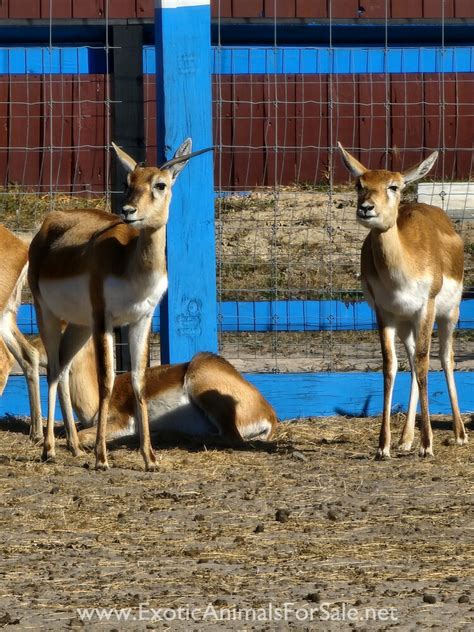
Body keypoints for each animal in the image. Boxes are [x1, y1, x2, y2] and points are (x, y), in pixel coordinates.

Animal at [27, 141, 209, 472]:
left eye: (160, 184)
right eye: (127, 183)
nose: (128, 211)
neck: (129, 263)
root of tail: (50, 220)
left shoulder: (141, 319)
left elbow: (139, 381)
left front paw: (150, 458)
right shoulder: (104, 319)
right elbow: (107, 381)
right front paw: (101, 457)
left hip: (80, 325)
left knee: (64, 367)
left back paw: (74, 447)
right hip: (47, 312)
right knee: (54, 369)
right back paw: (49, 449)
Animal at [338, 143, 468, 460]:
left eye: (393, 186)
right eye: (360, 184)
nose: (366, 208)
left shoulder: (426, 307)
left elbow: (424, 362)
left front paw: (428, 444)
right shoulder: (383, 311)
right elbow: (390, 365)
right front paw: (383, 446)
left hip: (450, 313)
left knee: (445, 358)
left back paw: (459, 434)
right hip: (406, 323)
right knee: (409, 360)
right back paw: (405, 439)